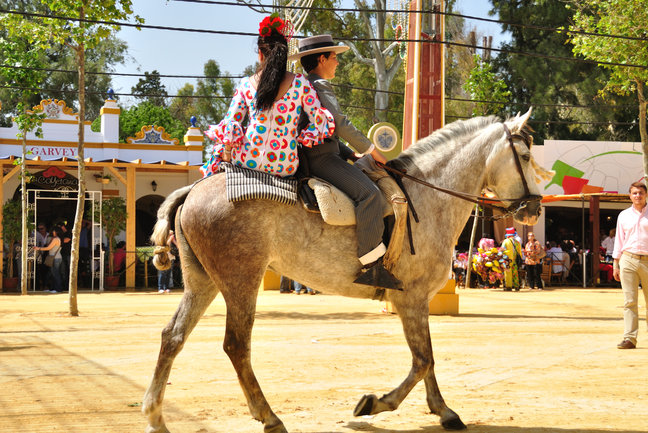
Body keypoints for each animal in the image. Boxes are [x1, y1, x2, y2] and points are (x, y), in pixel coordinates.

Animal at [140, 110, 548, 432]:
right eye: (526, 155)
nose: (535, 207)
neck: (429, 196)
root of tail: (192, 189)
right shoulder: (413, 299)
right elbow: (422, 360)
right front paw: (376, 403)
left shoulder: (413, 302)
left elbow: (427, 359)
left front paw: (443, 411)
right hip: (241, 281)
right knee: (236, 345)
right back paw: (269, 417)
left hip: (202, 282)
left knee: (172, 337)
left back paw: (155, 416)